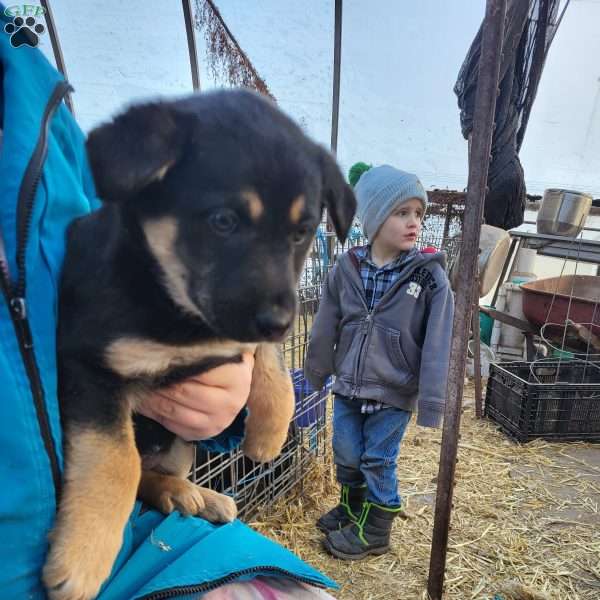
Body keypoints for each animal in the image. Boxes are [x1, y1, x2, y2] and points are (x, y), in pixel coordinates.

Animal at [43, 90, 356, 600]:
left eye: (301, 232)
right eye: (223, 221)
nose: (279, 323)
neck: (178, 311)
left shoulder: (240, 328)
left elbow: (269, 366)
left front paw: (268, 433)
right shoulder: (88, 366)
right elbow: (115, 461)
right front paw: (83, 557)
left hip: (181, 445)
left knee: (156, 472)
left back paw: (194, 495)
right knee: (137, 468)